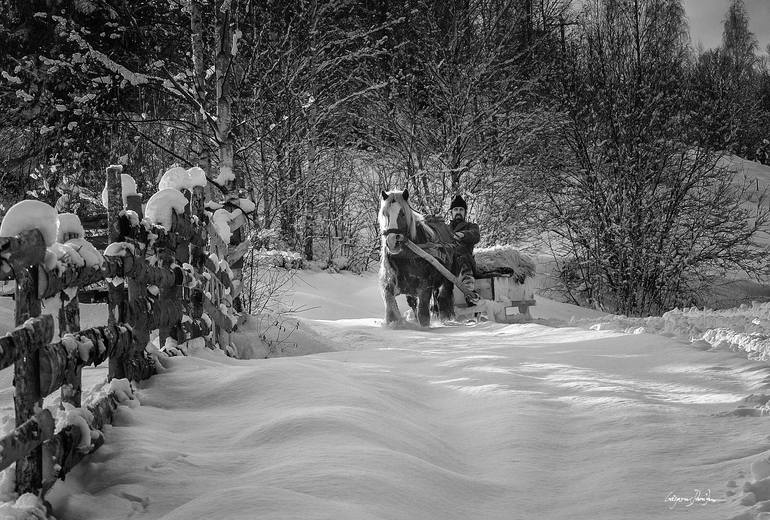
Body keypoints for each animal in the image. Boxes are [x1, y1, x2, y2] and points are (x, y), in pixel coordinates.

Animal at [376, 189, 452, 324]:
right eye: (385, 214)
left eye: (402, 213)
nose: (392, 242)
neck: (406, 256)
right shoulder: (389, 282)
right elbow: (390, 305)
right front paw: (394, 323)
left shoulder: (425, 286)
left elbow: (423, 314)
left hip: (447, 278)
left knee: (443, 297)